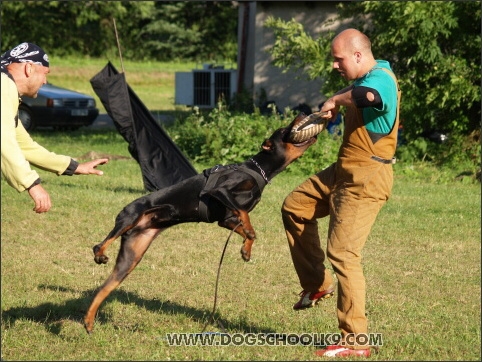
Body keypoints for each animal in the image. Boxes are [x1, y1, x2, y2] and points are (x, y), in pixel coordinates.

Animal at [83, 114, 316, 334]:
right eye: (284, 131)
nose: (300, 115)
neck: (259, 170)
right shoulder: (219, 192)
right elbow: (245, 218)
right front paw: (248, 236)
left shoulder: (226, 219)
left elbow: (246, 228)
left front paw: (246, 250)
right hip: (128, 218)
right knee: (98, 245)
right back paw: (100, 254)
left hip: (132, 255)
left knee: (103, 288)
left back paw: (88, 322)